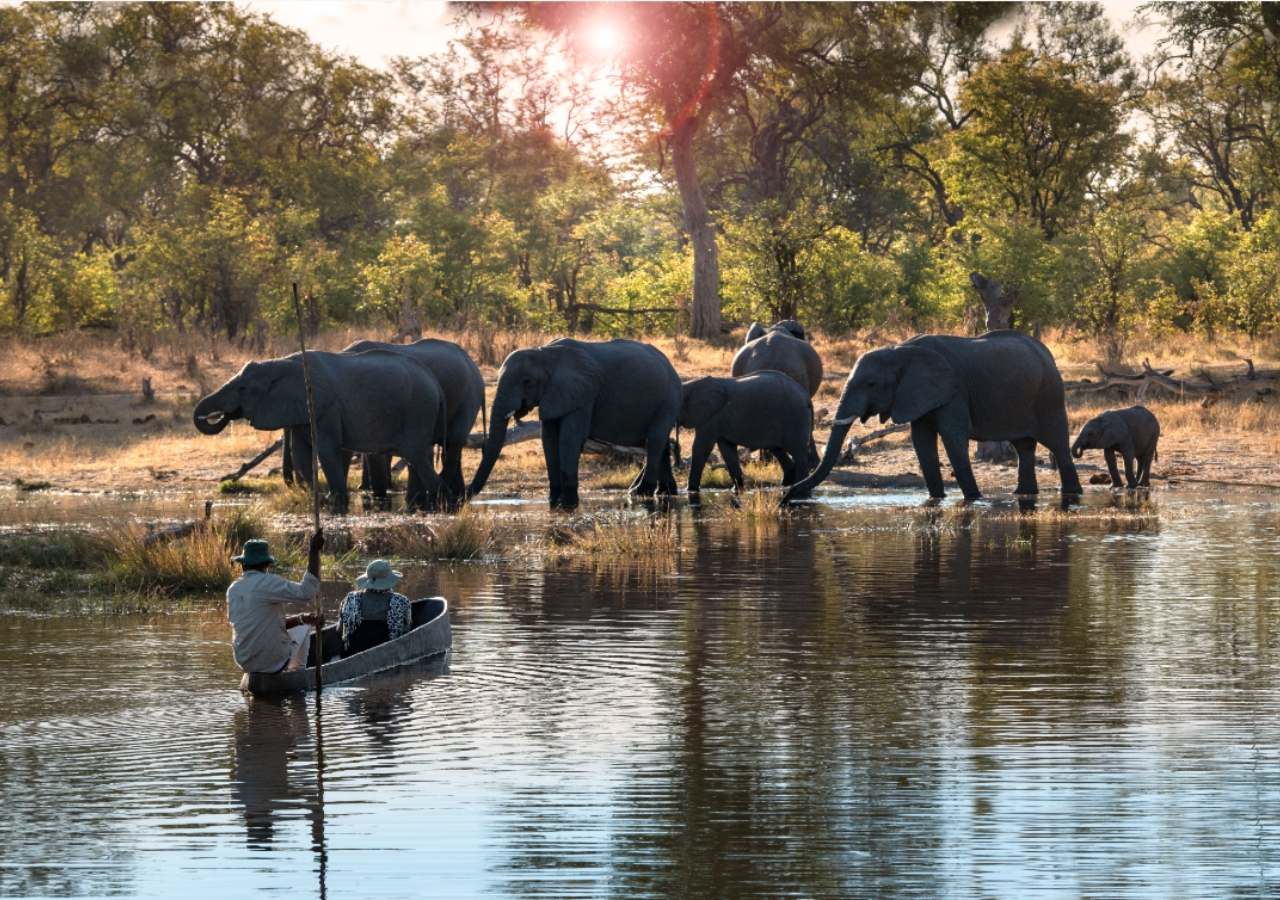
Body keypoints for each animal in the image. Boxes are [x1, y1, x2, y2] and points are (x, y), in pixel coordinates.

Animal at [195, 350, 449, 510]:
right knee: (419, 457)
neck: (280, 363)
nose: (223, 414)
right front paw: (310, 496)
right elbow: (301, 452)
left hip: (418, 409)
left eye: (243, 388)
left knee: (416, 455)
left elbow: (326, 450)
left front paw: (332, 502)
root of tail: (437, 384)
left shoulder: (328, 407)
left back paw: (441, 502)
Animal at [467, 338, 682, 510]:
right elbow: (549, 439)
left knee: (655, 441)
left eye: (527, 381)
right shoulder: (555, 393)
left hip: (668, 397)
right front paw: (553, 501)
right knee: (660, 443)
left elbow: (569, 438)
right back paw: (664, 492)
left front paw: (567, 504)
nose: (464, 497)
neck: (545, 352)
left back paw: (640, 493)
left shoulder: (583, 393)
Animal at [678, 372, 813, 494]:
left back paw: (799, 486)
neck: (690, 385)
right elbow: (727, 450)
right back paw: (788, 483)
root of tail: (805, 395)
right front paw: (738, 489)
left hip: (794, 417)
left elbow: (701, 447)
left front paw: (691, 490)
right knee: (777, 449)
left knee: (798, 452)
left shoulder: (711, 418)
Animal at [782, 331, 1083, 503]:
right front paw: (936, 498)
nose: (786, 498)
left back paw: (1072, 494)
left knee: (1057, 442)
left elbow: (953, 437)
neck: (899, 351)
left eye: (871, 384)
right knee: (1024, 446)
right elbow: (921, 439)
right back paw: (1023, 495)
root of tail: (1046, 352)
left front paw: (974, 500)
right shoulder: (917, 394)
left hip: (1049, 393)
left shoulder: (955, 390)